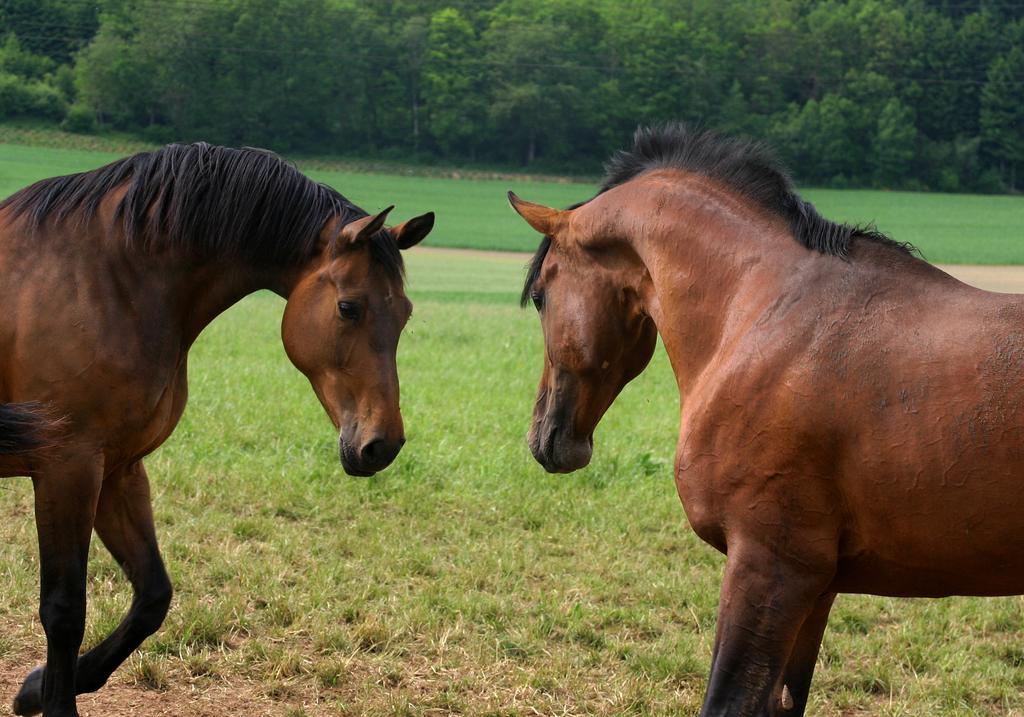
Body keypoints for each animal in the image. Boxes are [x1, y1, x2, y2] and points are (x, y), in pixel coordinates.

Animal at [0, 142, 432, 712]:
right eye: (348, 307)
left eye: (404, 314)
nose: (383, 444)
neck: (101, 280)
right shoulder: (66, 468)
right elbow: (64, 611)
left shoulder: (117, 469)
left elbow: (153, 596)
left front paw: (34, 689)